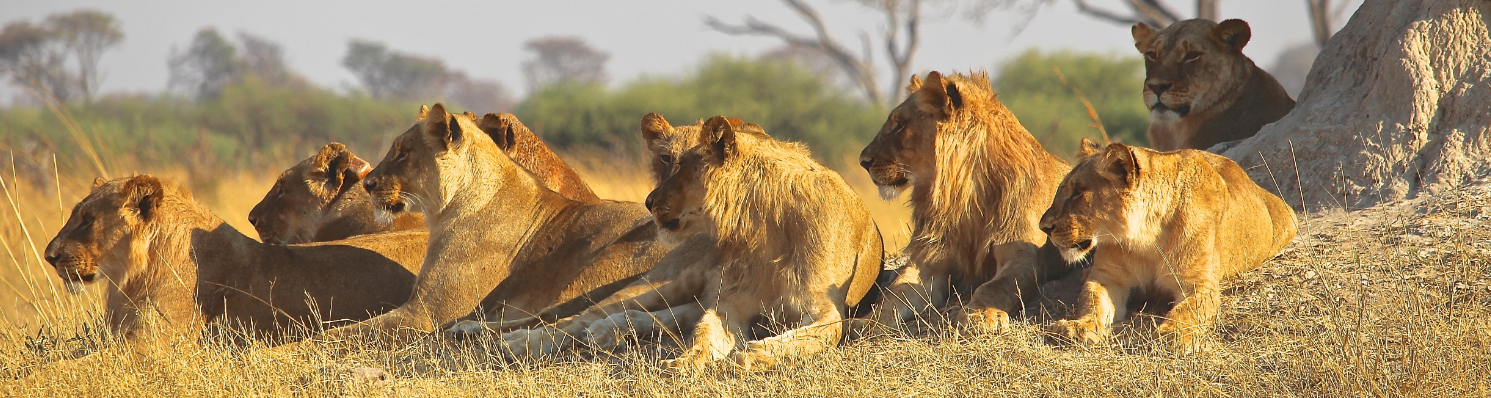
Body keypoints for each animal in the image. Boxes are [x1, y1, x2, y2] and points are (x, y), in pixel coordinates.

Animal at [864, 71, 1085, 333]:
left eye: (900, 124)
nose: (863, 161)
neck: (963, 195)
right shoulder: (930, 260)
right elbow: (896, 293)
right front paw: (866, 322)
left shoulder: (1025, 255)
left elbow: (994, 287)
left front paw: (979, 315)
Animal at [1037, 139, 1294, 353]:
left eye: (1078, 193)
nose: (1043, 226)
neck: (1146, 238)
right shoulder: (1107, 277)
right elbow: (1092, 301)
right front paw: (1078, 327)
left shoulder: (1199, 283)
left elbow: (1188, 309)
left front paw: (1174, 334)